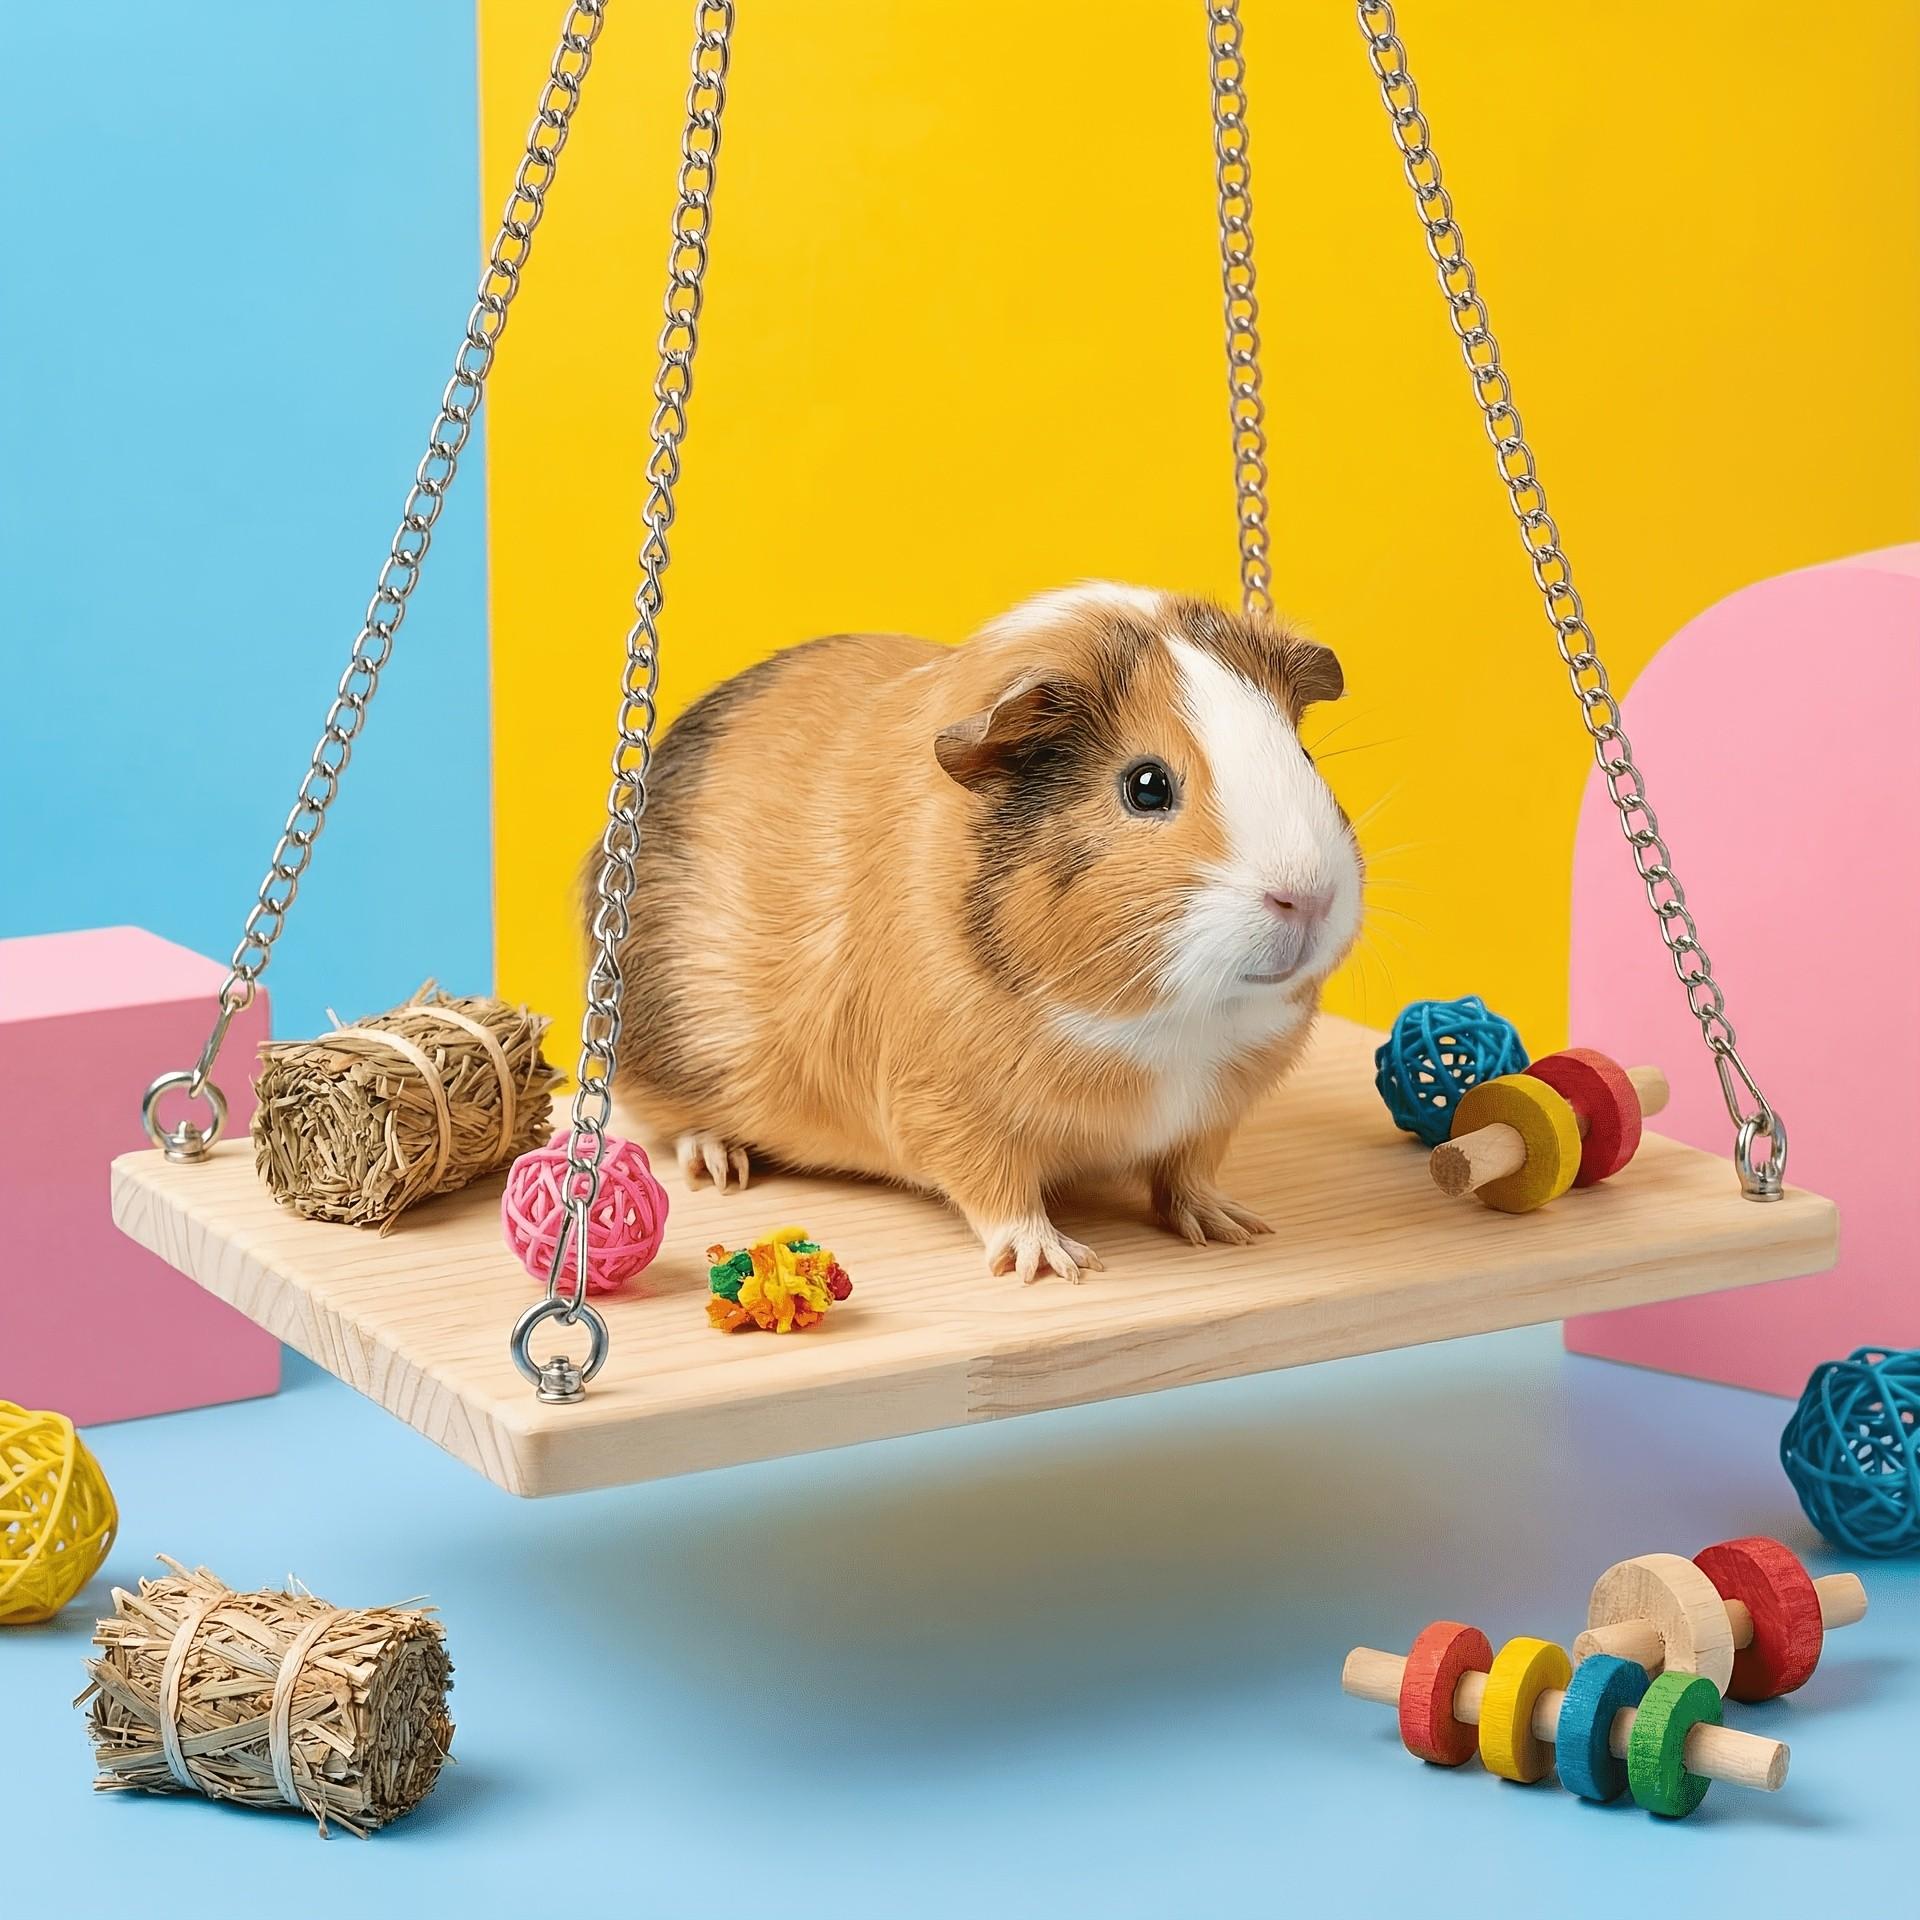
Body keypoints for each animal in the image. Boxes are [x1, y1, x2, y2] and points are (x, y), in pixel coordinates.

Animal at [595, 582, 1362, 1282]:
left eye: (1304, 758)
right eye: (1146, 786)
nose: (1308, 897)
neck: (1174, 1024)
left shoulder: (1212, 1112)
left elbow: (1188, 1172)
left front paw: (1230, 1226)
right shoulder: (946, 1106)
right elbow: (997, 1189)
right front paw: (1052, 1264)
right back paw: (720, 1165)